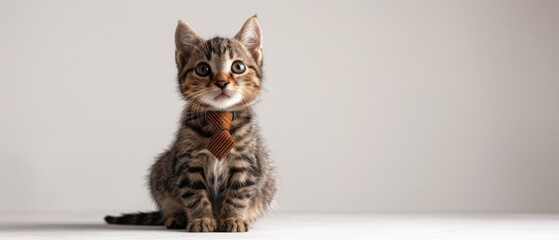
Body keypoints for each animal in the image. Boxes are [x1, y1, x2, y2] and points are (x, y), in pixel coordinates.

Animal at [103, 15, 278, 232]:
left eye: (238, 67)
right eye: (203, 69)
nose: (222, 82)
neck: (219, 117)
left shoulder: (245, 162)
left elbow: (237, 194)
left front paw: (234, 218)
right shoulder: (188, 164)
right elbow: (195, 195)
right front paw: (202, 219)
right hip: (159, 170)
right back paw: (176, 216)